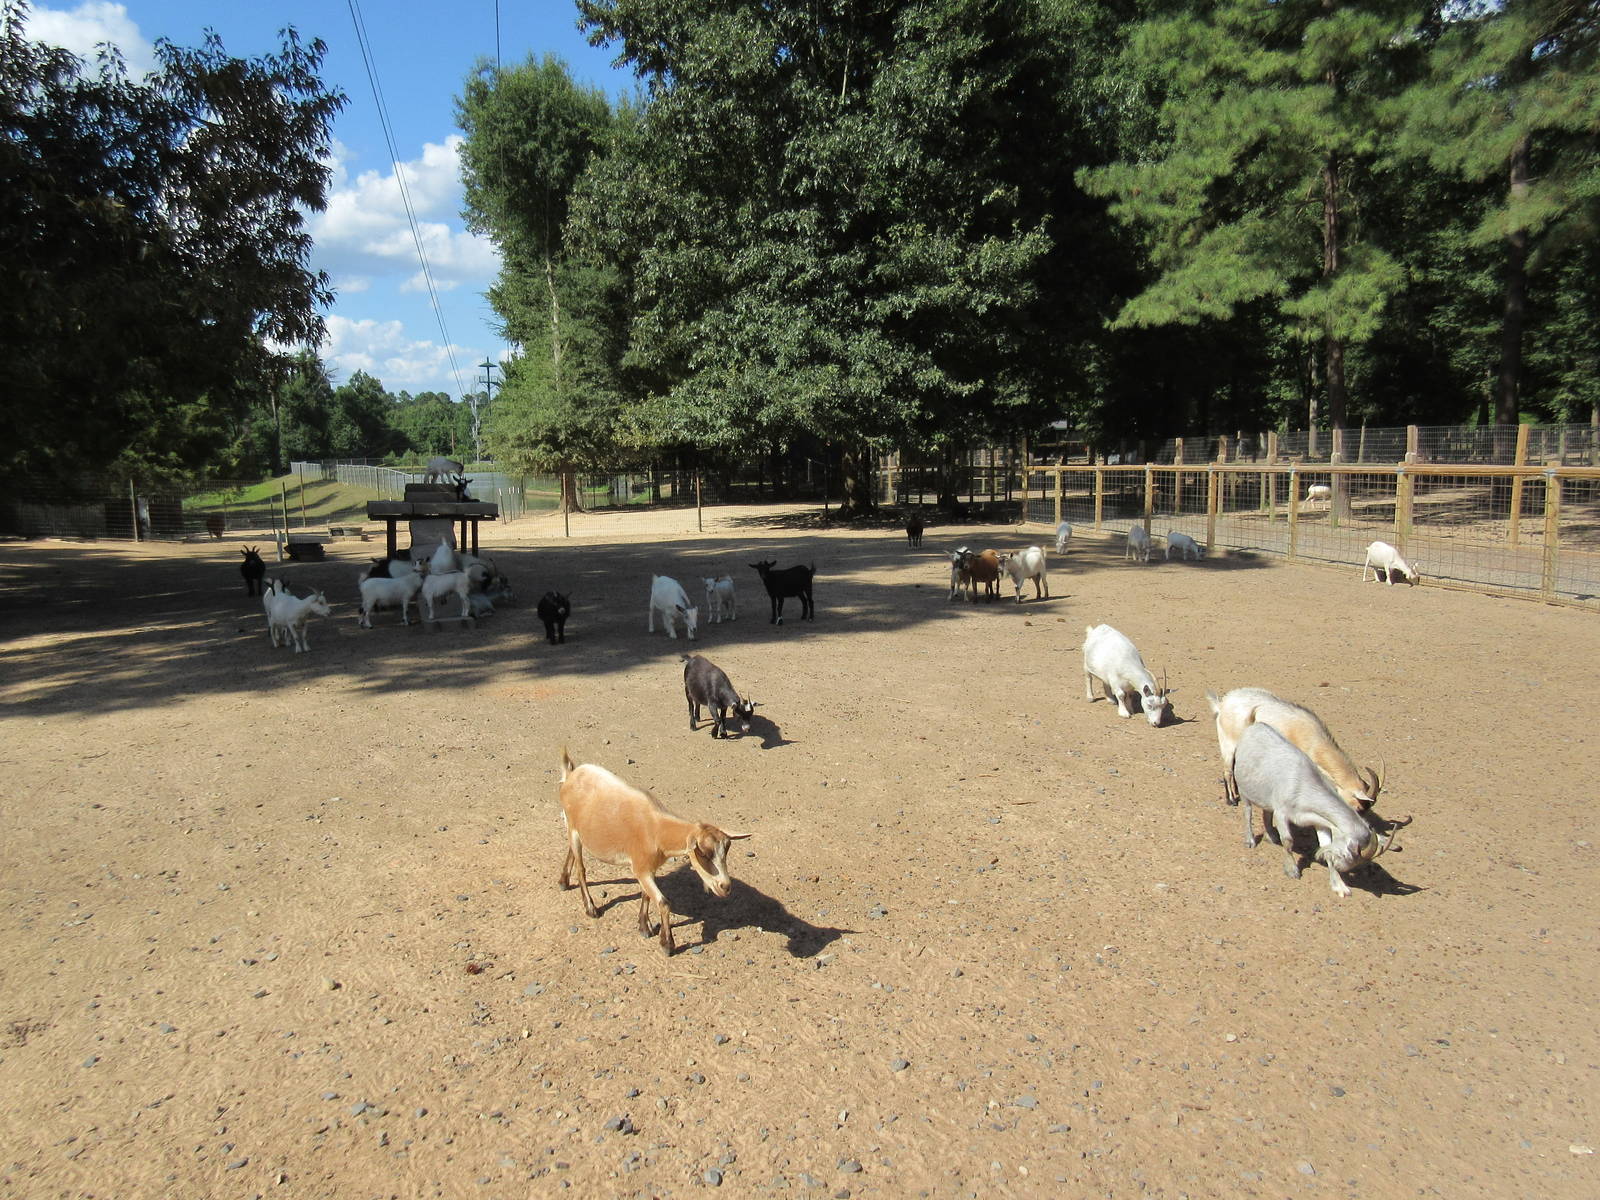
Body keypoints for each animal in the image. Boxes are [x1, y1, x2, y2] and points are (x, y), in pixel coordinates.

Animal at [557, 748, 750, 955]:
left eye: (726, 851)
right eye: (704, 853)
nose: (725, 887)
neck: (657, 830)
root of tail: (571, 775)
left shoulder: (649, 868)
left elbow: (645, 894)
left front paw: (644, 926)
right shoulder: (640, 867)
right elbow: (663, 902)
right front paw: (667, 944)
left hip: (575, 828)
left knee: (571, 850)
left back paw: (563, 881)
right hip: (572, 825)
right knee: (581, 869)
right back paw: (591, 908)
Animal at [1205, 687, 1383, 814]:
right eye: (1358, 807)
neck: (1314, 739)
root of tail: (1222, 704)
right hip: (1228, 743)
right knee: (1227, 770)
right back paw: (1231, 800)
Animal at [1231, 722, 1393, 898]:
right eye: (1348, 854)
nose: (1342, 867)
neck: (1305, 786)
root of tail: (1255, 726)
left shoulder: (1320, 821)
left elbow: (1325, 845)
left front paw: (1339, 886)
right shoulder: (1282, 812)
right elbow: (1288, 841)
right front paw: (1292, 870)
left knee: (1266, 812)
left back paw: (1271, 836)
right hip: (1244, 787)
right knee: (1247, 812)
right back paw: (1250, 840)